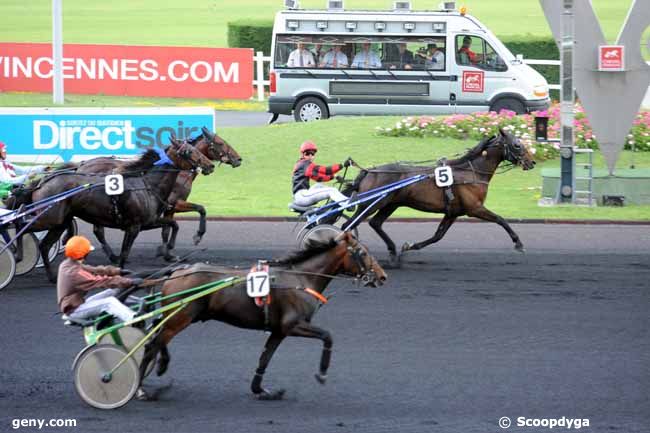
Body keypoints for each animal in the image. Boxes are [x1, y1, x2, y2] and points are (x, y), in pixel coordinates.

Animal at [6, 139, 213, 280]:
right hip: (49, 217)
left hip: (59, 222)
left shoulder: (149, 221)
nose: (209, 165)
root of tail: (43, 182)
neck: (147, 185)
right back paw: (17, 253)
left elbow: (173, 224)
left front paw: (170, 248)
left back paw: (52, 276)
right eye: (188, 151)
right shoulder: (135, 226)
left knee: (44, 245)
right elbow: (125, 251)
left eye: (196, 149)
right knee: (20, 222)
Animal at [73, 126, 240, 262]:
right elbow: (199, 210)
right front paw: (191, 239)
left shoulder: (166, 208)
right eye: (220, 143)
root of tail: (82, 165)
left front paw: (167, 252)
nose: (238, 159)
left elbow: (168, 228)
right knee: (98, 230)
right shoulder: (173, 203)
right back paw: (112, 256)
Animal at [137, 231, 388, 400]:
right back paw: (140, 389)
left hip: (175, 317)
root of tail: (177, 271)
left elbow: (265, 358)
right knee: (151, 346)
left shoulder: (278, 330)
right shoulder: (293, 325)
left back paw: (161, 365)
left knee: (156, 338)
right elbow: (328, 336)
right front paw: (322, 373)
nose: (382, 276)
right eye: (363, 253)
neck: (300, 279)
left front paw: (261, 390)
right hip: (180, 318)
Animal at [342, 127, 536, 264]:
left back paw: (392, 250)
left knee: (375, 223)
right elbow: (500, 219)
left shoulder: (452, 213)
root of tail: (369, 171)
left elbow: (437, 236)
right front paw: (518, 243)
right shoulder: (474, 208)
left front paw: (409, 247)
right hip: (371, 204)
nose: (532, 162)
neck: (471, 173)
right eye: (517, 144)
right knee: (348, 224)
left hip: (391, 204)